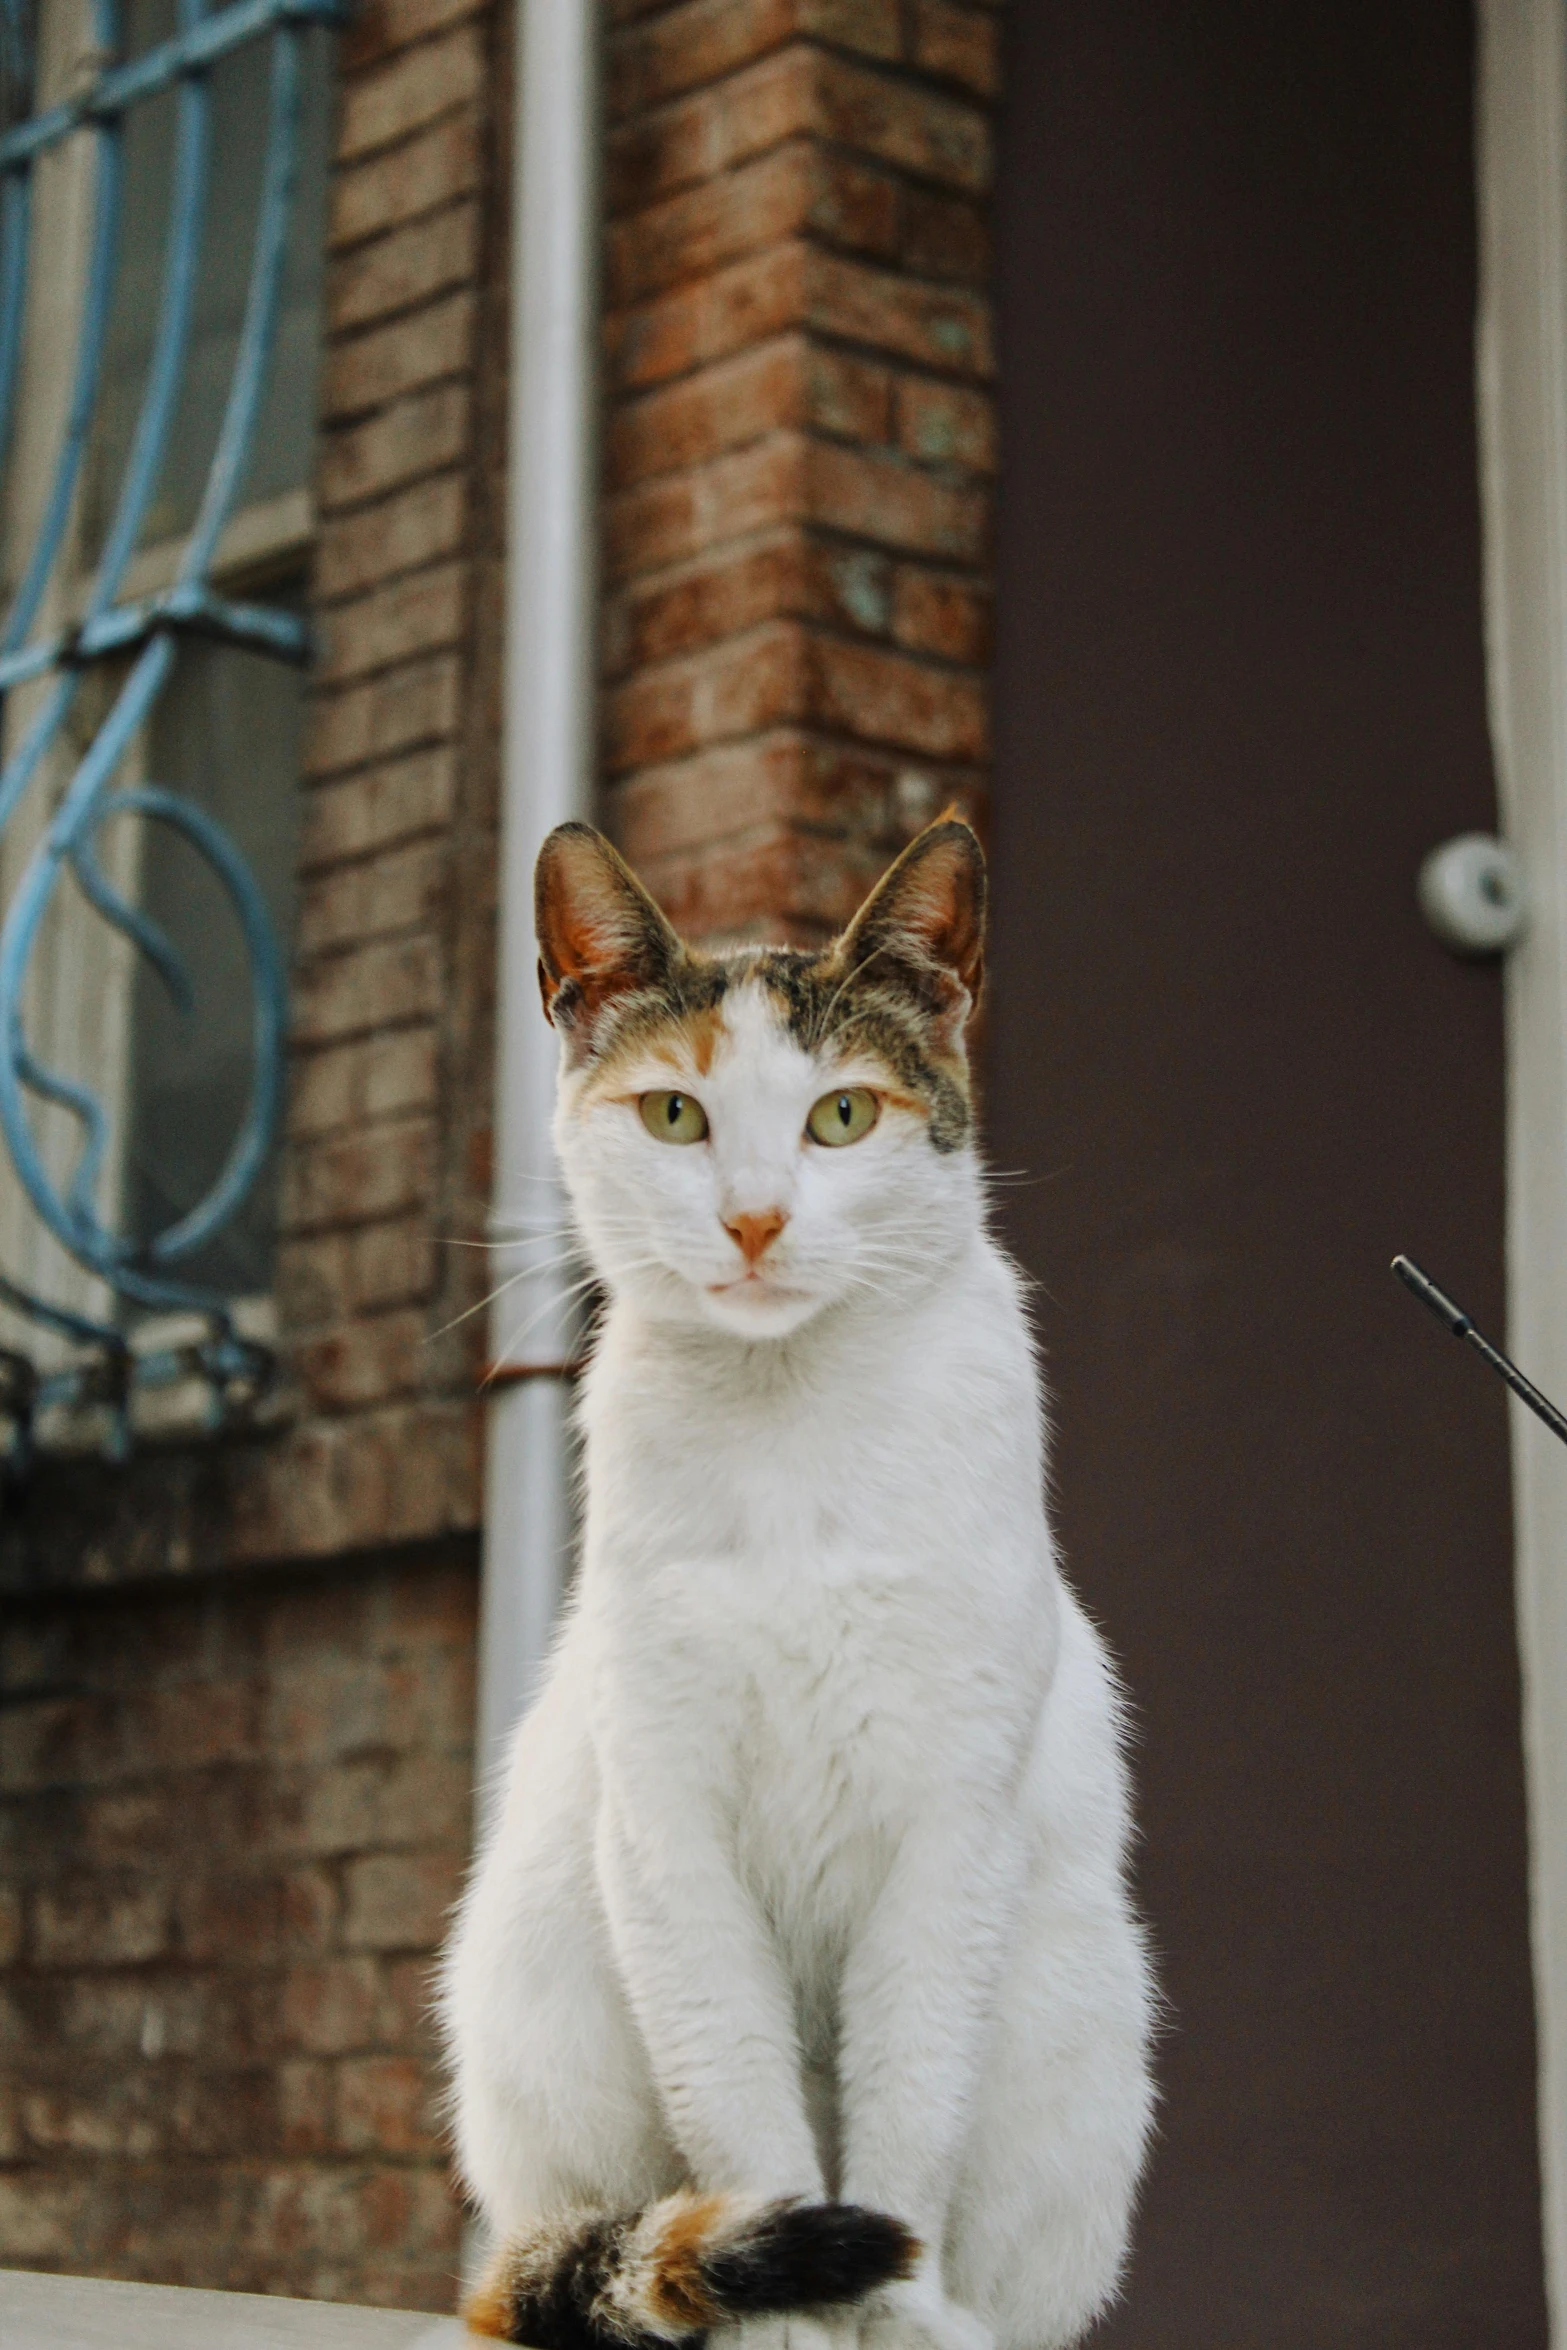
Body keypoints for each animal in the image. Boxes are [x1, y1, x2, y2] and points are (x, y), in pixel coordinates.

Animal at [439, 822, 1151, 2350]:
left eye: (840, 1118)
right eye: (672, 1115)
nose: (756, 1220)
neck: (792, 1426)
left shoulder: (949, 1831)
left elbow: (909, 2101)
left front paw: (898, 2308)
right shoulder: (667, 1830)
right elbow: (741, 2101)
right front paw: (774, 2307)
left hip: (1078, 2018)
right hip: (534, 1993)